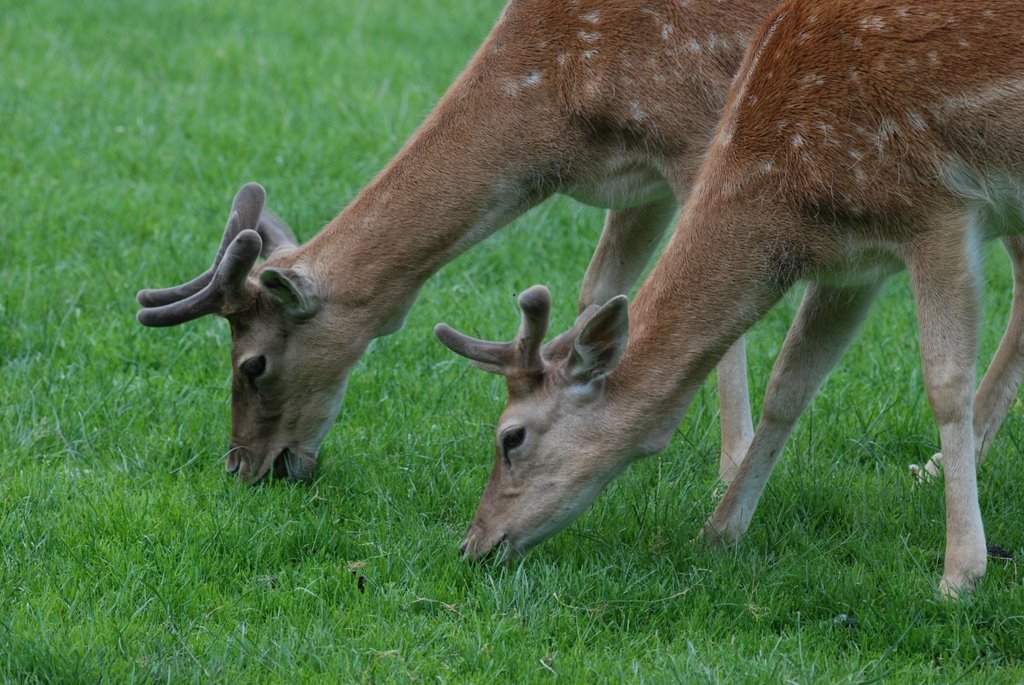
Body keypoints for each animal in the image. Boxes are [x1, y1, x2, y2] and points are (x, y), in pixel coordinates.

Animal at [134, 0, 782, 481]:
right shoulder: (638, 184)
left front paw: (730, 470)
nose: (241, 468)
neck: (563, 122)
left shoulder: (696, 134)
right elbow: (599, 293)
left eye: (252, 366)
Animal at [436, 0, 1024, 593]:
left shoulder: (940, 213)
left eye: (511, 437)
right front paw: (718, 532)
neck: (788, 195)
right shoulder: (849, 265)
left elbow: (944, 385)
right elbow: (789, 385)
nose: (473, 544)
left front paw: (961, 573)